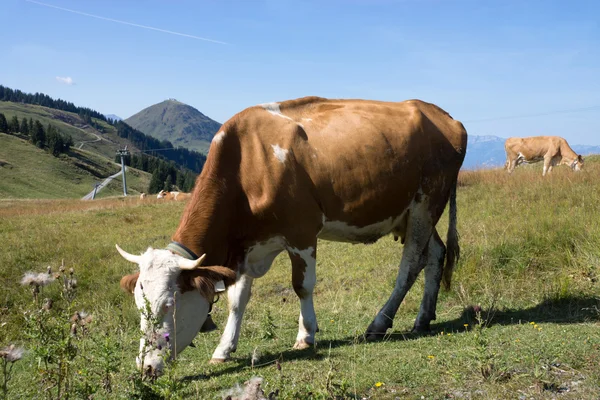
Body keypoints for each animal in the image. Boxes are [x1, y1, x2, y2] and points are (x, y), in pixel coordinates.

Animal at [115, 97, 466, 376]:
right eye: (139, 307)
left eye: (168, 305)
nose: (145, 367)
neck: (247, 163)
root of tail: (442, 114)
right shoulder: (246, 247)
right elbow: (236, 300)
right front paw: (223, 348)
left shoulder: (302, 231)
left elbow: (302, 286)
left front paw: (306, 335)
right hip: (410, 213)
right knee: (435, 254)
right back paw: (424, 317)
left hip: (426, 202)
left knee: (410, 263)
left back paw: (380, 323)